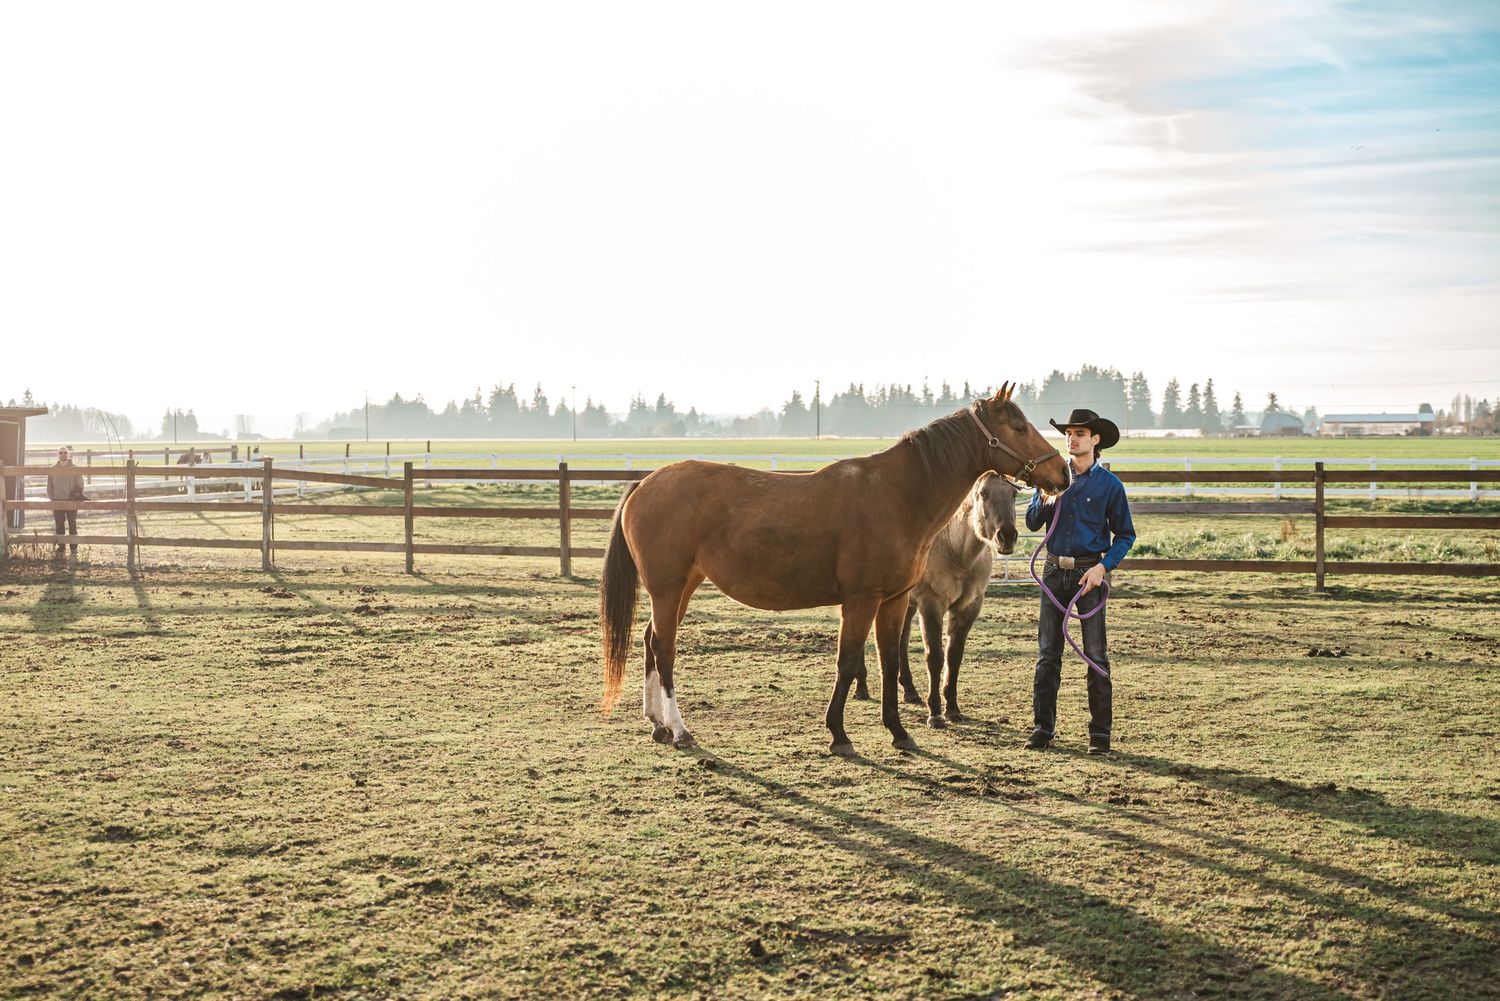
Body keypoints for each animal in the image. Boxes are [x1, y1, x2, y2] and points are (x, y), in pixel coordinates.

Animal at [886, 471, 1019, 727]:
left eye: (1014, 494)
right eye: (983, 493)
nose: (1007, 536)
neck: (955, 550)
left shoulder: (969, 606)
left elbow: (953, 656)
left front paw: (953, 709)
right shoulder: (931, 604)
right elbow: (935, 657)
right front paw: (936, 714)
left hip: (905, 603)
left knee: (901, 641)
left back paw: (910, 691)